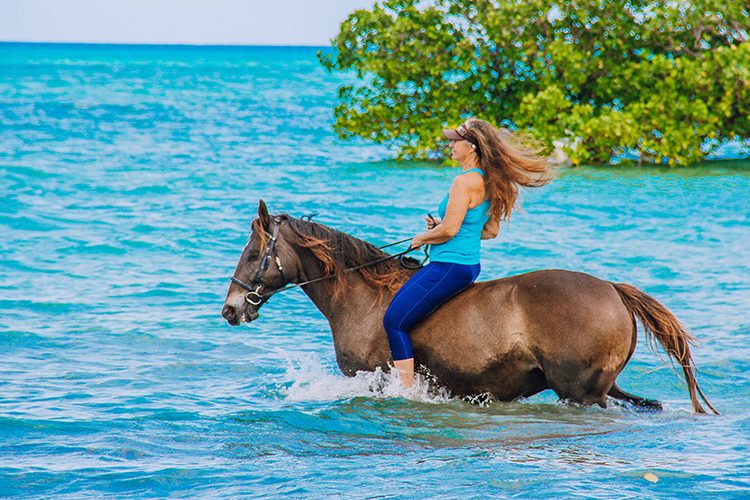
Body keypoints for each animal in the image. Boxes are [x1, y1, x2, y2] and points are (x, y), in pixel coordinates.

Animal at [222, 199, 716, 414]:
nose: (230, 309)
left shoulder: (374, 378)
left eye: (253, 253)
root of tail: (612, 289)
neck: (361, 298)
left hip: (581, 393)